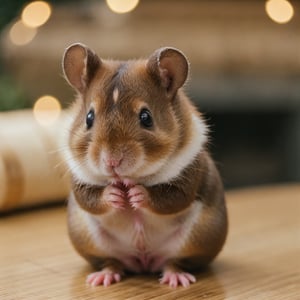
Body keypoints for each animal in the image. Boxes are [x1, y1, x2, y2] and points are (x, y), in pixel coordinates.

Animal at [62, 42, 227, 288]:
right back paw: (102, 278)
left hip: (197, 240)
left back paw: (176, 279)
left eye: (146, 117)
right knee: (112, 262)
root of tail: (144, 261)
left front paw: (135, 195)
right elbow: (89, 197)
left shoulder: (188, 177)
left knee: (175, 262)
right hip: (90, 241)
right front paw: (116, 196)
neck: (128, 178)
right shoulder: (79, 179)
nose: (112, 161)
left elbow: (171, 197)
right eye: (89, 117)